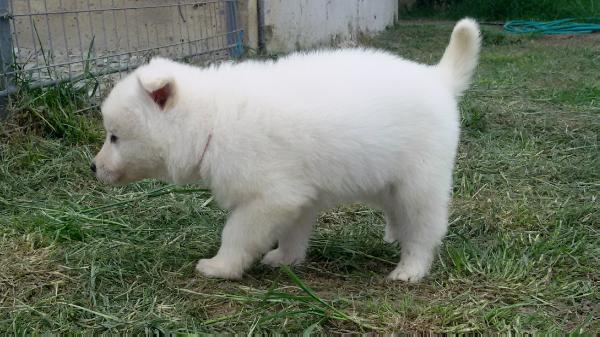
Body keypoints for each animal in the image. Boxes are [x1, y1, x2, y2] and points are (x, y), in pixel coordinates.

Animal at [92, 18, 478, 280]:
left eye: (114, 136)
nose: (92, 168)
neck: (211, 120)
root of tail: (437, 79)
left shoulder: (270, 196)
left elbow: (237, 232)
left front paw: (220, 266)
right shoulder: (298, 196)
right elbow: (293, 233)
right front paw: (285, 260)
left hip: (421, 181)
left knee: (425, 229)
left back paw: (410, 268)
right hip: (388, 179)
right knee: (398, 213)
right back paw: (394, 236)